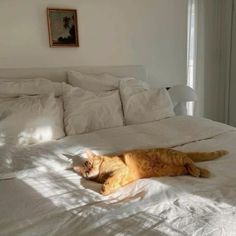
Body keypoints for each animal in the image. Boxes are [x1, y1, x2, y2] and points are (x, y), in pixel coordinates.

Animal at [74, 148, 229, 195]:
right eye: (84, 171)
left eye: (89, 164)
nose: (88, 171)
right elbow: (113, 182)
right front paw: (107, 188)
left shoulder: (120, 169)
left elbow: (111, 178)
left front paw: (105, 187)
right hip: (176, 169)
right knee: (188, 165)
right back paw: (200, 172)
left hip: (174, 158)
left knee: (190, 162)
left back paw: (201, 172)